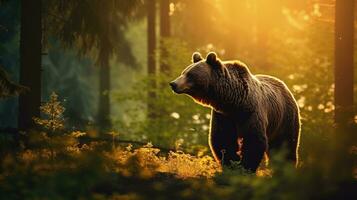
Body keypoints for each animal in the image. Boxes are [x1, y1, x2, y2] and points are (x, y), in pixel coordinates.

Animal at [170, 52, 300, 173]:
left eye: (190, 74)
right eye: (183, 72)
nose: (173, 84)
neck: (233, 102)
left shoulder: (251, 112)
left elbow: (253, 140)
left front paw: (245, 168)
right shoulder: (223, 116)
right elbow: (223, 139)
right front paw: (231, 165)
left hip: (285, 118)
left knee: (286, 144)